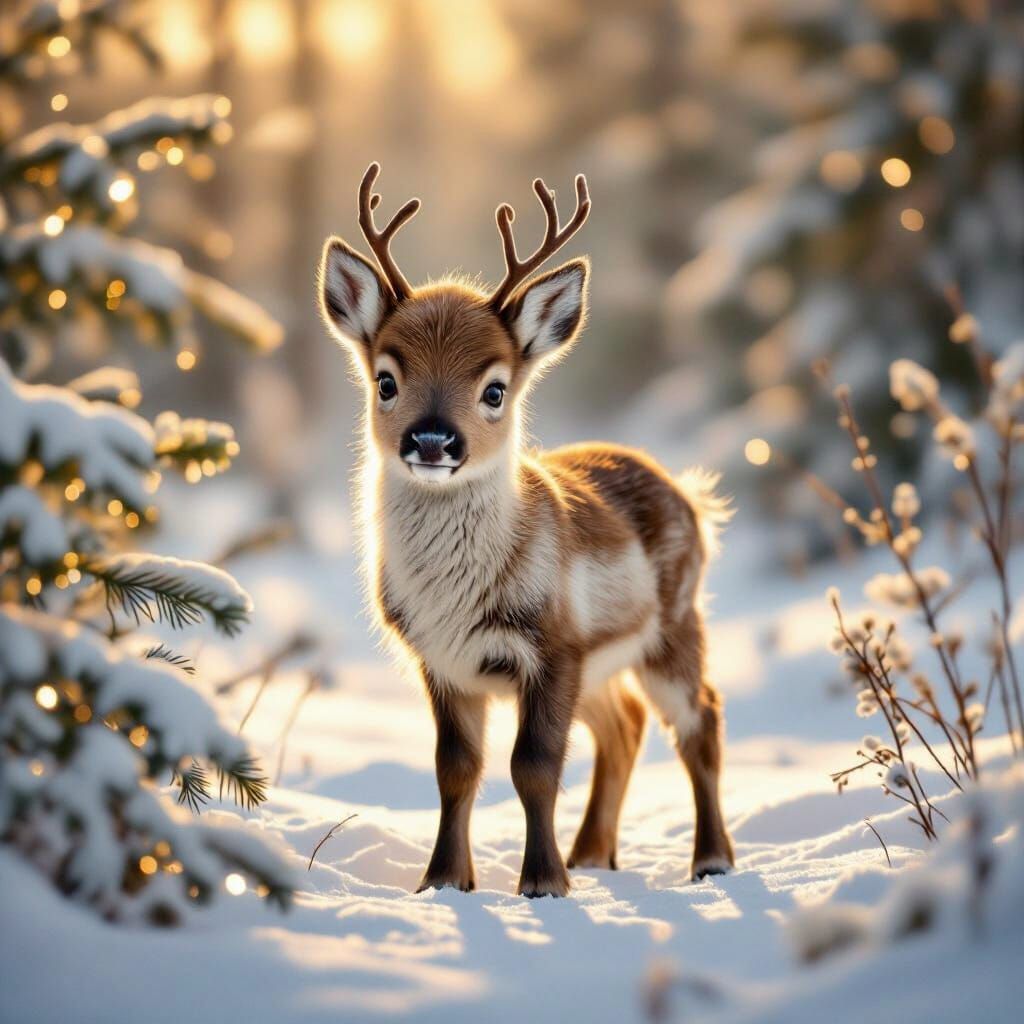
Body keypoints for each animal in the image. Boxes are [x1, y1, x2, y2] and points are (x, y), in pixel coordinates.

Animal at [318, 163, 734, 897]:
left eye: (495, 388)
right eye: (386, 380)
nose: (433, 439)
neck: (457, 597)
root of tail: (688, 493)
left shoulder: (552, 645)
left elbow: (533, 766)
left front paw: (542, 883)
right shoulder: (442, 661)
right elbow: (455, 769)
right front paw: (443, 881)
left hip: (674, 623)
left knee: (699, 718)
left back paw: (710, 861)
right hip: (603, 666)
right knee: (625, 726)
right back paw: (594, 854)